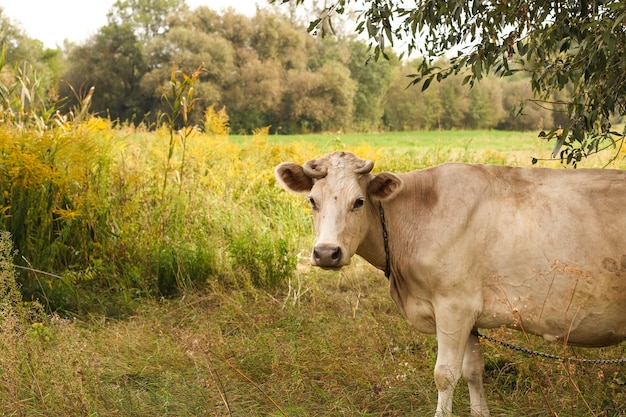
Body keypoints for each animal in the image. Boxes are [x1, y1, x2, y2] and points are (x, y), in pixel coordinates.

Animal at [274, 152, 626, 416]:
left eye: (359, 201)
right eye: (312, 201)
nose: (326, 252)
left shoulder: (454, 306)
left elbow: (445, 375)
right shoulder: (469, 314)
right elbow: (473, 371)